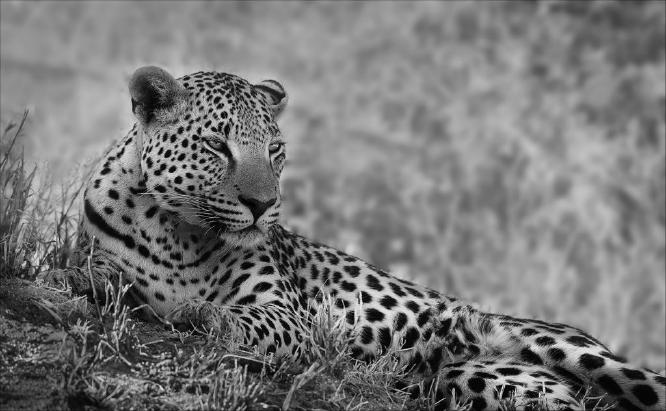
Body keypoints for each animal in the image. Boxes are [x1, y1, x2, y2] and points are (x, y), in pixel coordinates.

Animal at [44, 66, 666, 410]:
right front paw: (87, 282)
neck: (181, 232)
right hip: (488, 382)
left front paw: (189, 312)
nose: (262, 205)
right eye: (218, 146)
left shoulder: (286, 314)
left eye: (275, 150)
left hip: (579, 353)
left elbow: (229, 317)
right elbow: (94, 273)